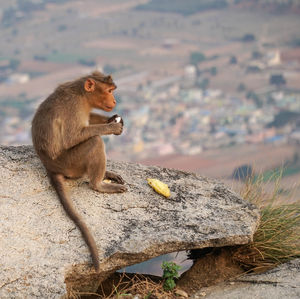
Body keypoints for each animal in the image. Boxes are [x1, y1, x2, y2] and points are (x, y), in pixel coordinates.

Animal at [31, 70, 126, 272]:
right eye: (109, 90)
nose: (114, 100)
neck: (82, 95)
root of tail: (50, 167)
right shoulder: (73, 107)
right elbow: (73, 136)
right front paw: (111, 126)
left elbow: (90, 118)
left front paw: (112, 119)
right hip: (70, 163)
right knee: (94, 141)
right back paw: (99, 185)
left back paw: (107, 175)